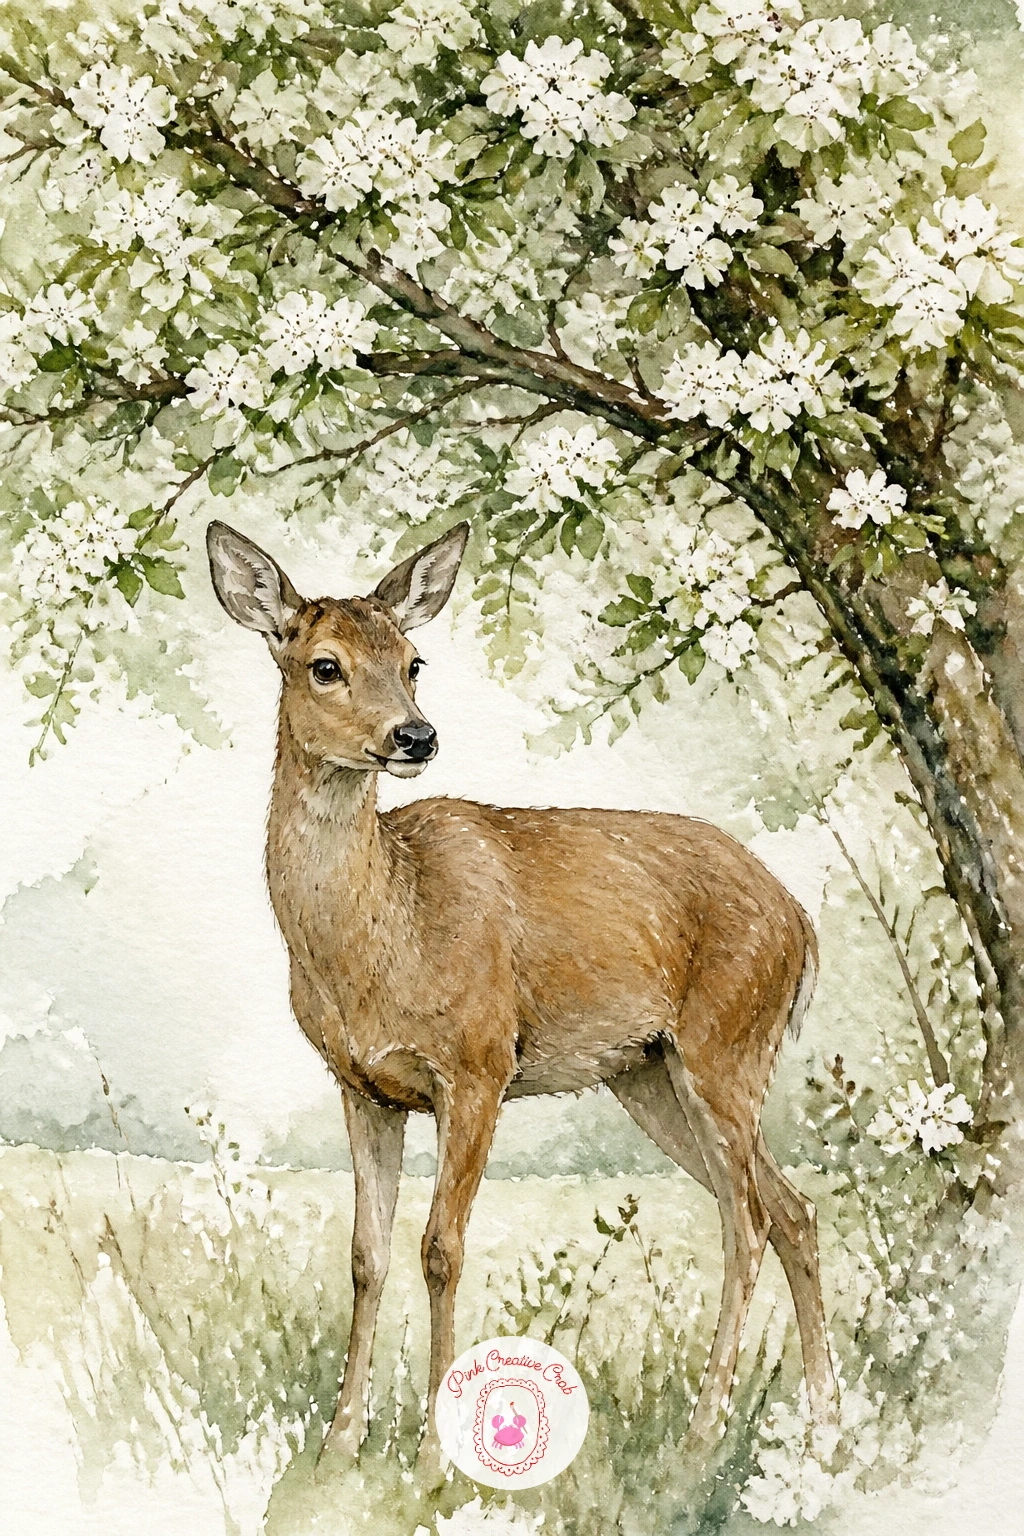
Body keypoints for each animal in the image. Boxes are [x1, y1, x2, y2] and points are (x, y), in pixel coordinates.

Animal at [206, 517, 837, 1469]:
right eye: (324, 664)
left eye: (415, 659)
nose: (415, 736)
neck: (381, 936)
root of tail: (800, 922)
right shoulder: (363, 1086)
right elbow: (365, 1255)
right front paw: (340, 1445)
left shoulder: (479, 1063)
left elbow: (441, 1247)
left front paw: (432, 1456)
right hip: (650, 1073)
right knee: (787, 1209)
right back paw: (828, 1419)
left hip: (726, 1045)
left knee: (751, 1218)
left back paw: (704, 1434)